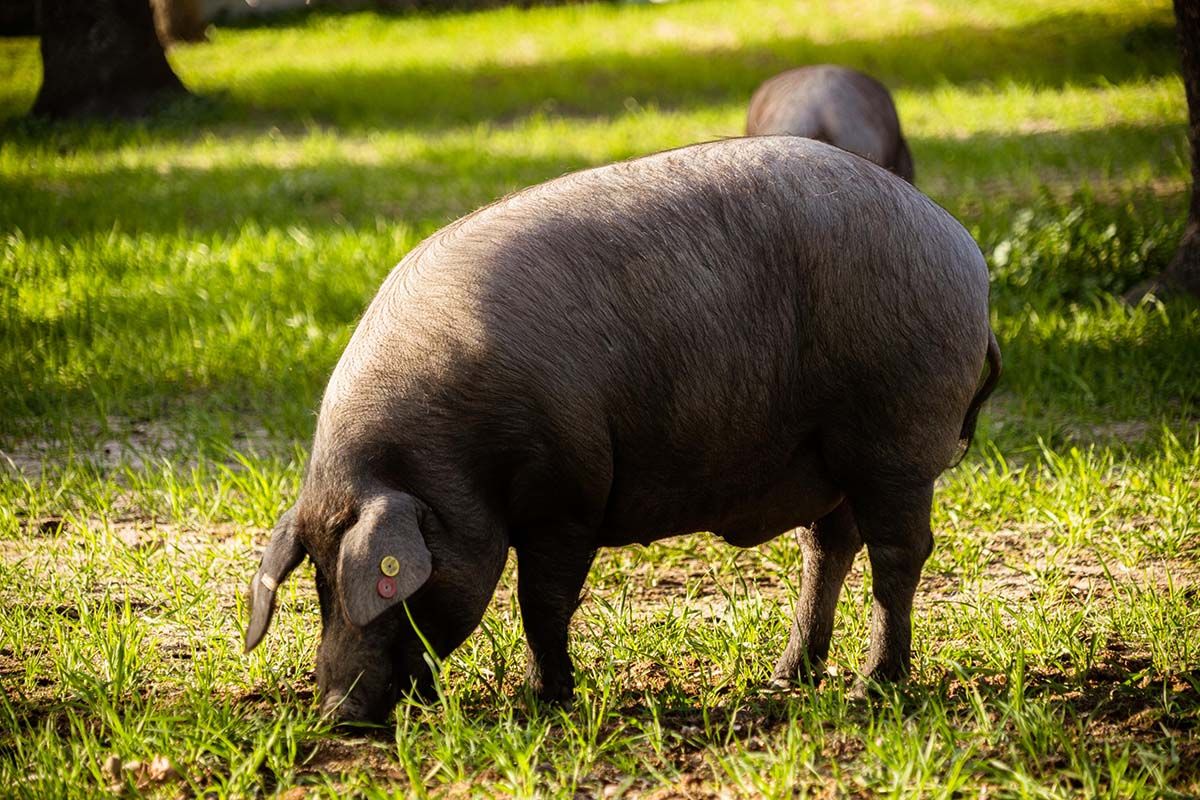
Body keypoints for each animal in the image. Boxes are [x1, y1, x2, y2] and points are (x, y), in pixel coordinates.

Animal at [243, 136, 1003, 724]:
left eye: (376, 586)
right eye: (316, 585)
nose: (334, 713)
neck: (450, 455)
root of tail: (965, 253)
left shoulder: (568, 491)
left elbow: (541, 602)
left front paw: (546, 702)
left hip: (896, 434)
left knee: (899, 554)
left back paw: (872, 689)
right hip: (831, 457)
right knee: (830, 549)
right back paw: (786, 678)